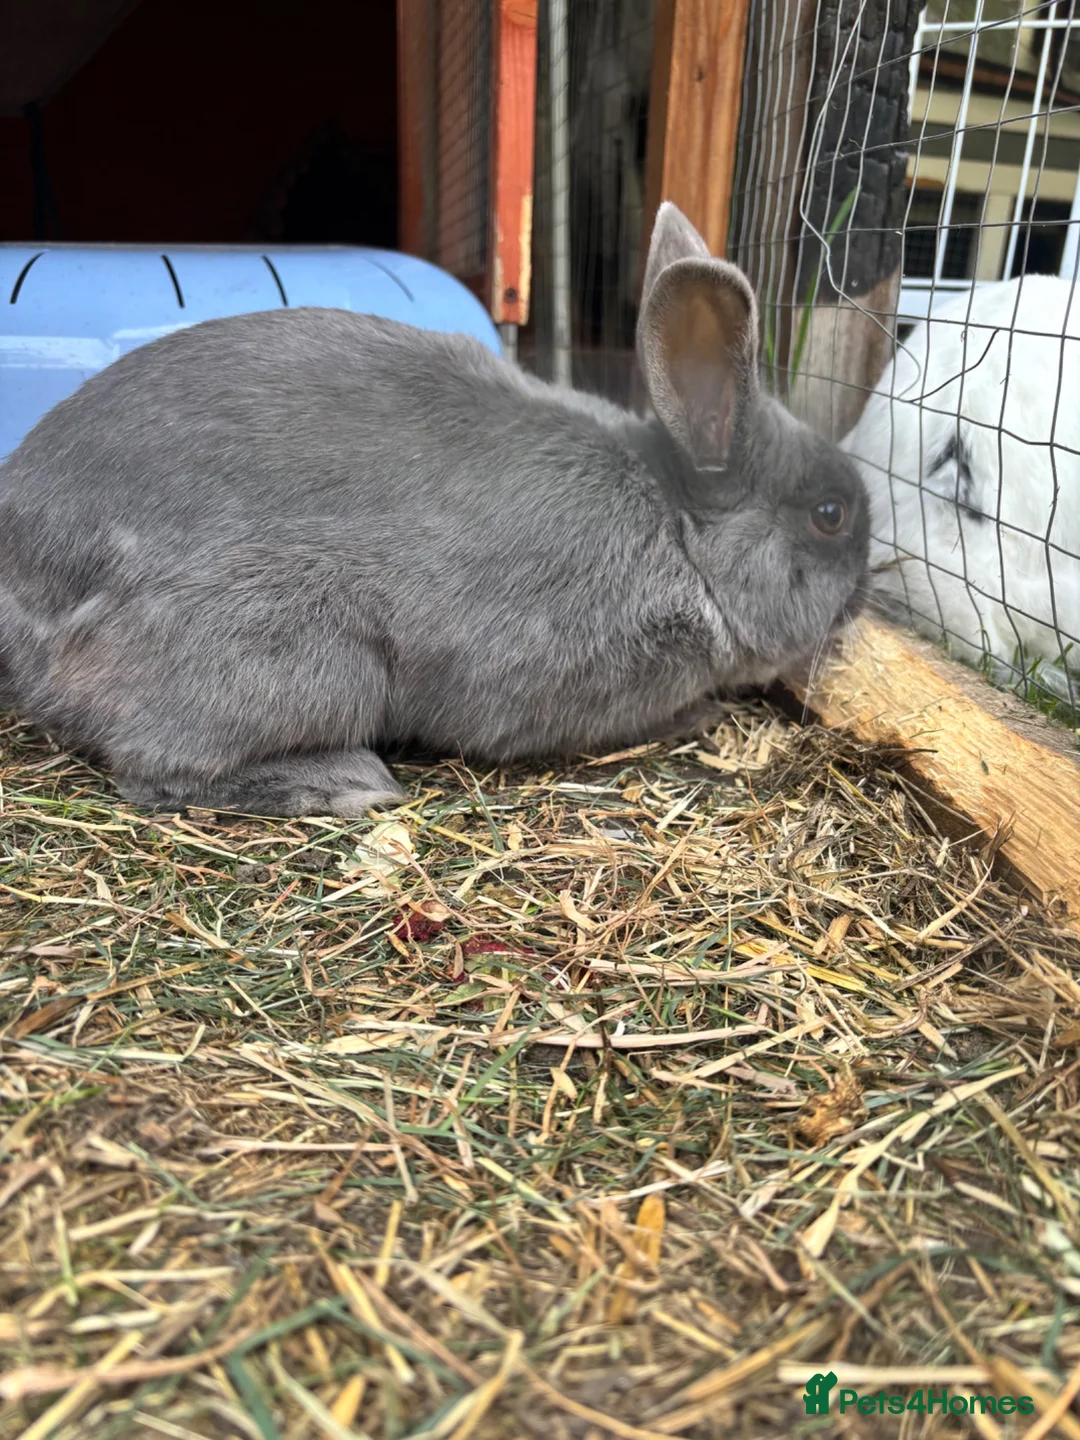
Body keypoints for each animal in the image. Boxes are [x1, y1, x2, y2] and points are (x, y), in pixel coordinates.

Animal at [0, 202, 869, 819]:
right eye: (829, 514)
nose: (862, 597)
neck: (682, 537)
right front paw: (702, 712)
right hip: (302, 655)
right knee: (154, 773)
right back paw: (343, 783)